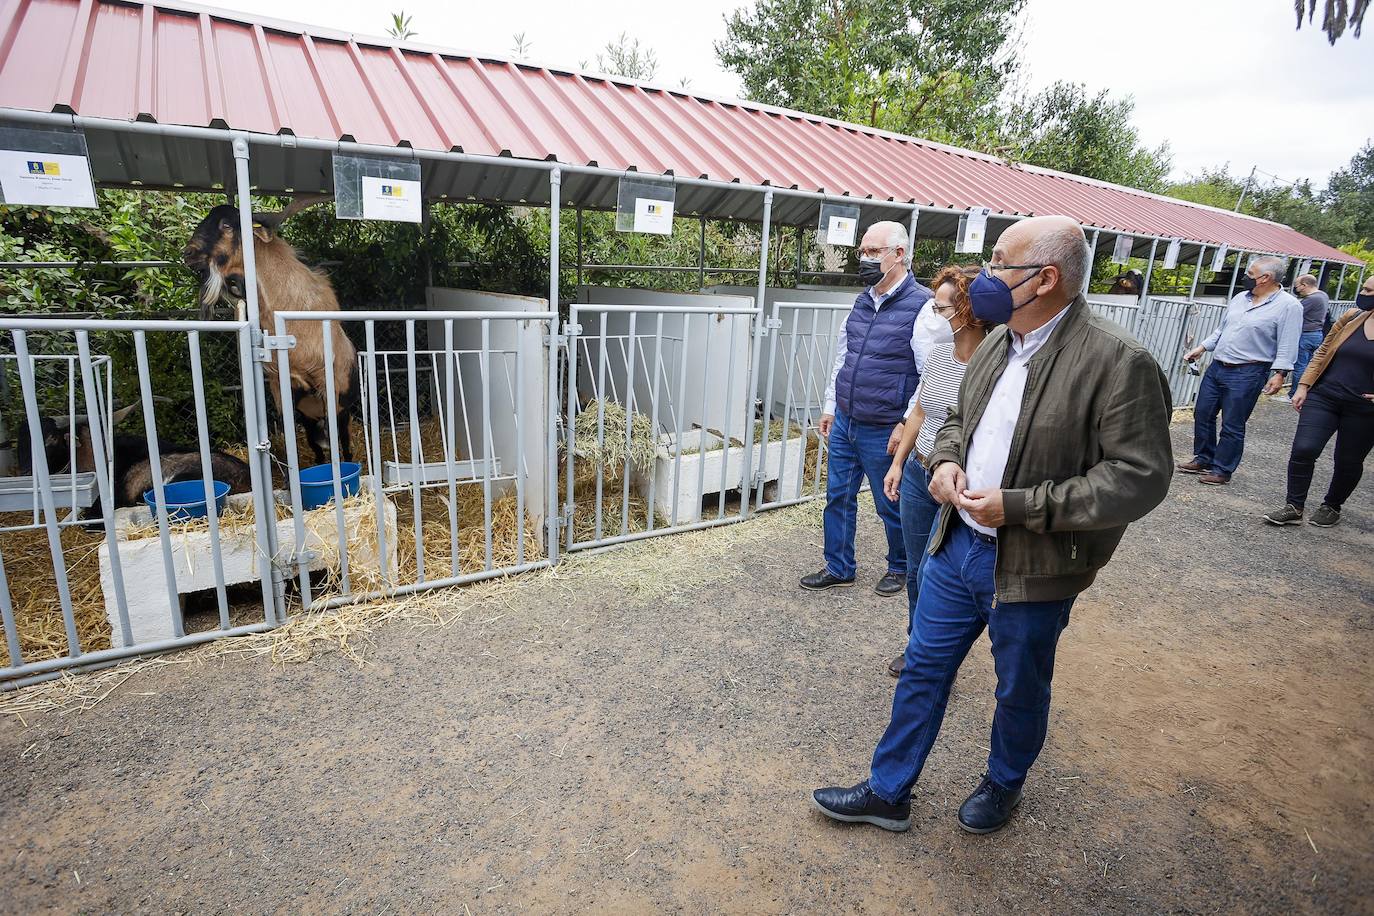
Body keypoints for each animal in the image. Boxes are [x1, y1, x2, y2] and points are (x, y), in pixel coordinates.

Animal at [185, 196, 362, 461]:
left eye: (226, 225)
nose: (188, 253)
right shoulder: (280, 385)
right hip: (309, 417)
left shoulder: (329, 385)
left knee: (345, 444)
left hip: (342, 410)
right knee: (318, 447)